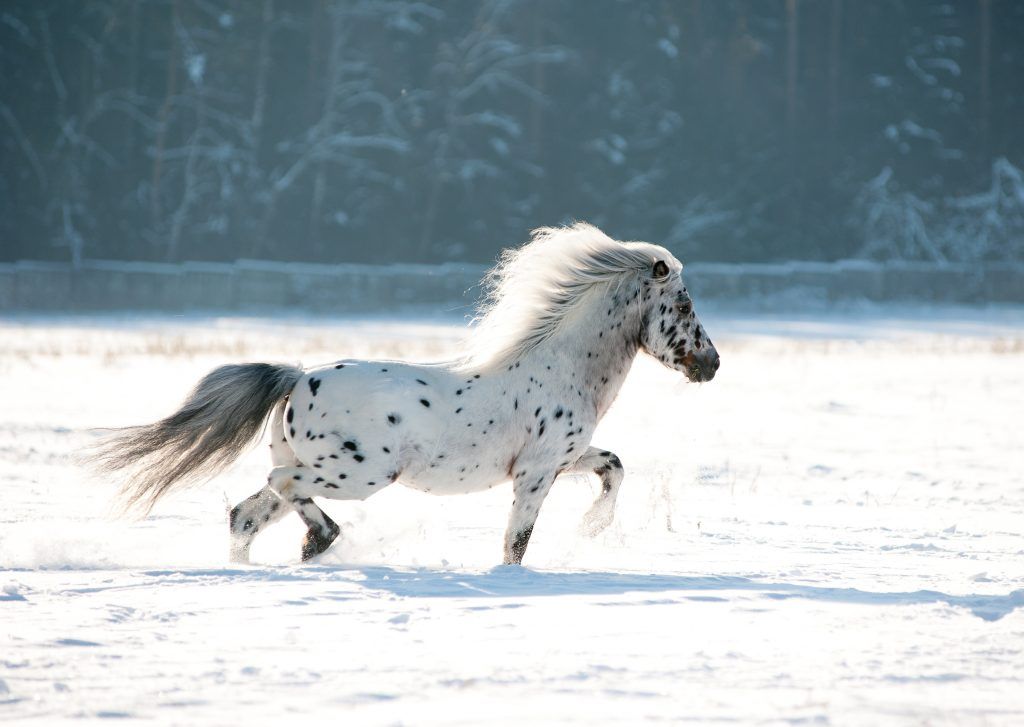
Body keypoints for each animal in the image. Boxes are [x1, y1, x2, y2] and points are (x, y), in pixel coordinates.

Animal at [94, 225, 720, 565]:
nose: (711, 364)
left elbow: (614, 465)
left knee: (244, 515)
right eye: (684, 303)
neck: (563, 367)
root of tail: (297, 378)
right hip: (359, 472)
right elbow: (516, 542)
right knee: (281, 488)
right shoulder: (537, 472)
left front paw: (592, 528)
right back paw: (321, 540)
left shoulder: (565, 458)